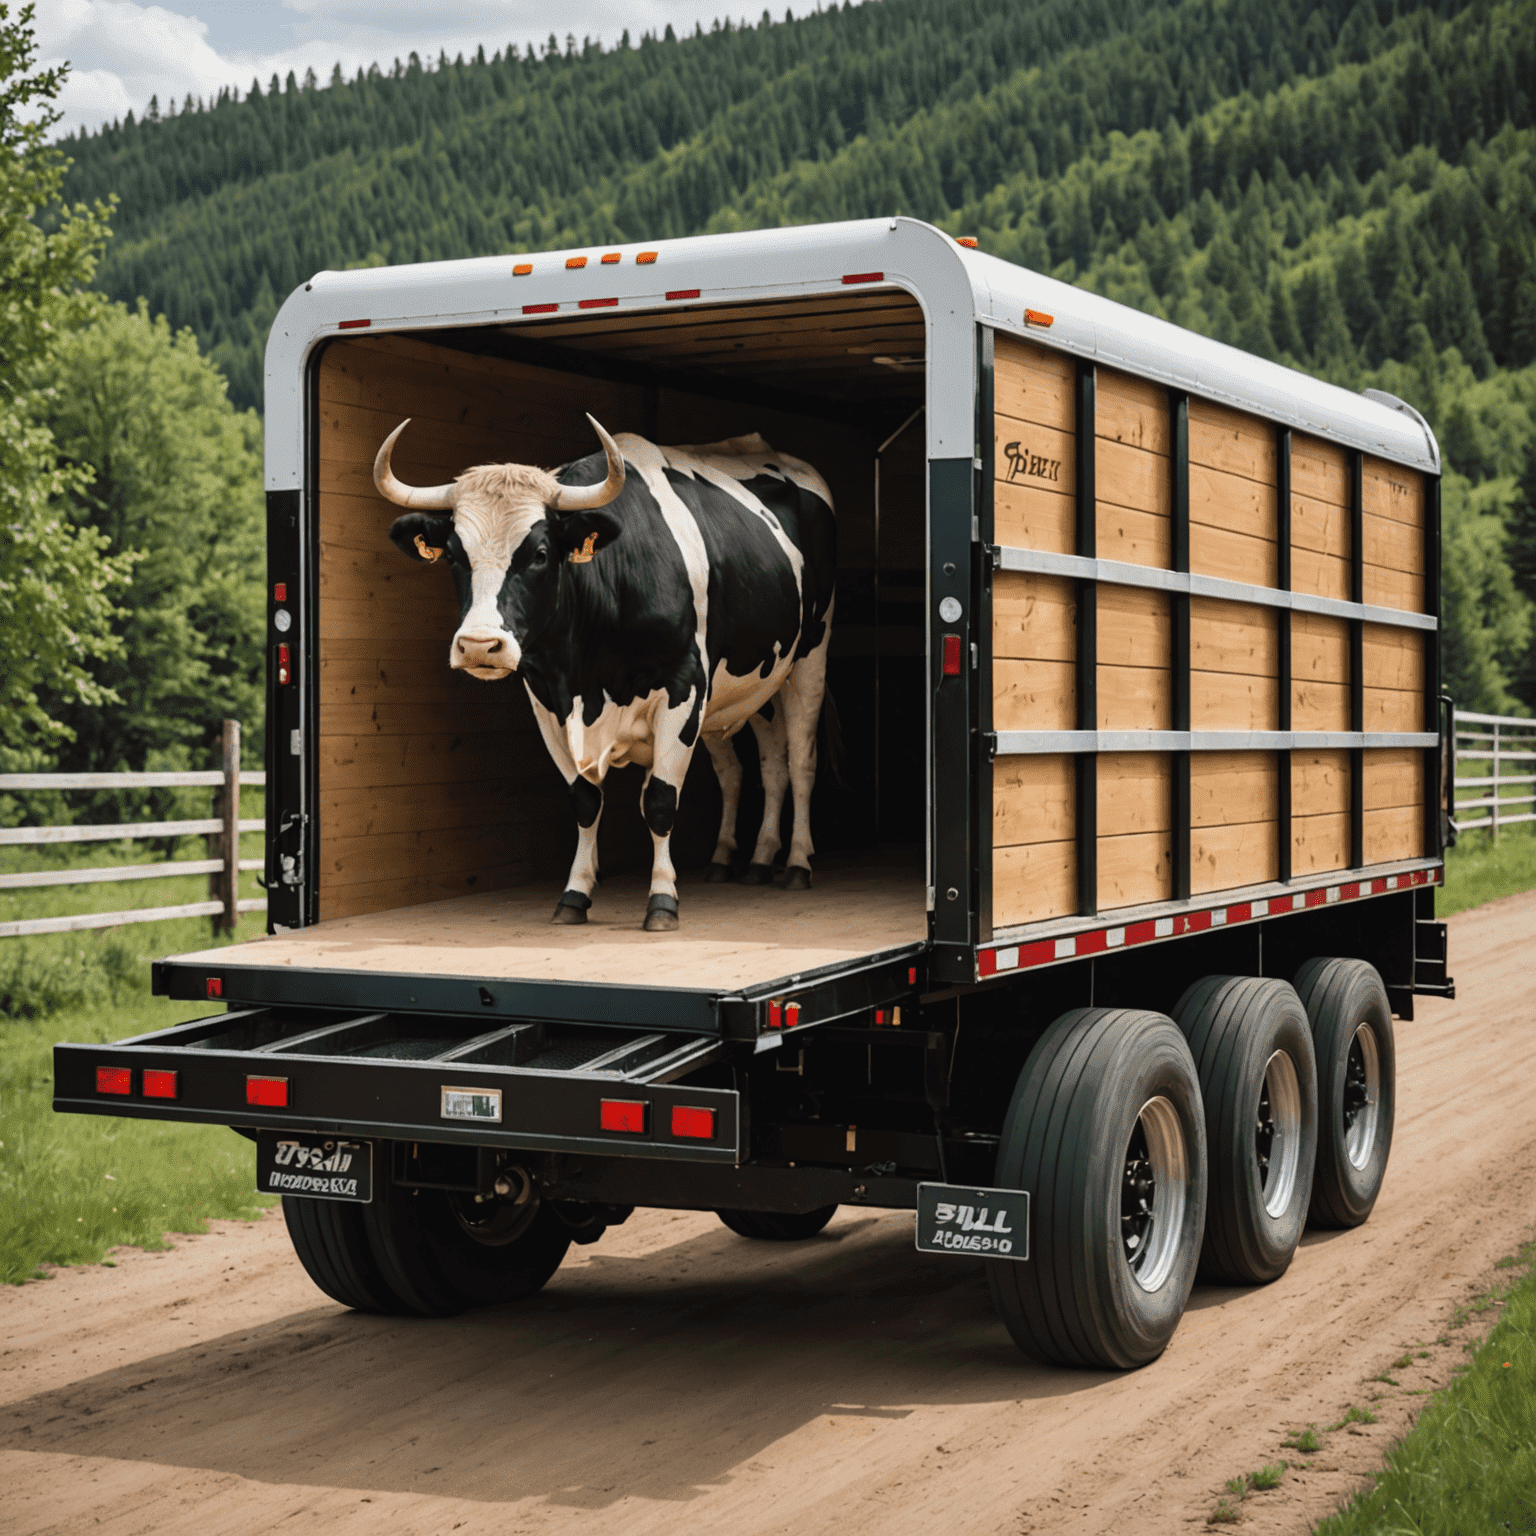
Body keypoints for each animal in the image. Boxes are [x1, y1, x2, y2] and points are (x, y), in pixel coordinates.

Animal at [374, 414, 841, 927]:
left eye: (540, 554)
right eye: (456, 555)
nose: (480, 645)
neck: (590, 678)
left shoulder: (684, 686)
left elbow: (660, 800)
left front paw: (662, 899)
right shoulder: (548, 701)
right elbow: (585, 800)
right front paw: (574, 895)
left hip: (809, 660)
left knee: (799, 762)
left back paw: (796, 863)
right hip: (750, 684)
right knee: (757, 767)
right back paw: (748, 860)